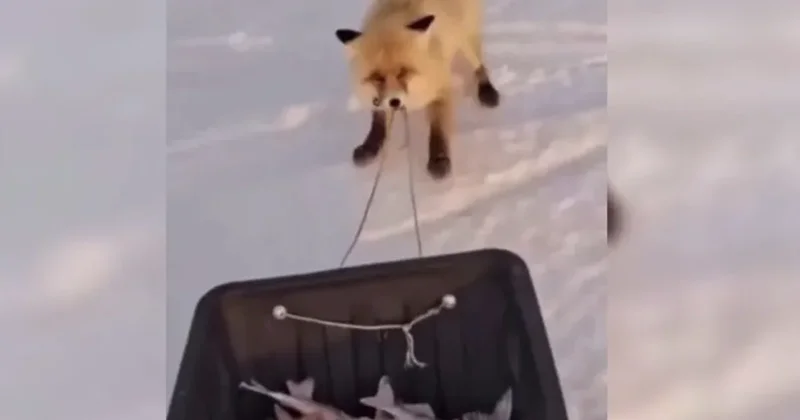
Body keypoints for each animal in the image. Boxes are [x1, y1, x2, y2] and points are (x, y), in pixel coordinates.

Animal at [335, 0, 500, 179]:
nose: (394, 101)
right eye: (377, 77)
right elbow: (378, 123)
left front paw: (439, 159)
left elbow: (438, 129)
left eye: (403, 72)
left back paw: (487, 91)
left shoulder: (440, 87)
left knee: (478, 64)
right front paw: (370, 148)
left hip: (465, 40)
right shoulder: (378, 100)